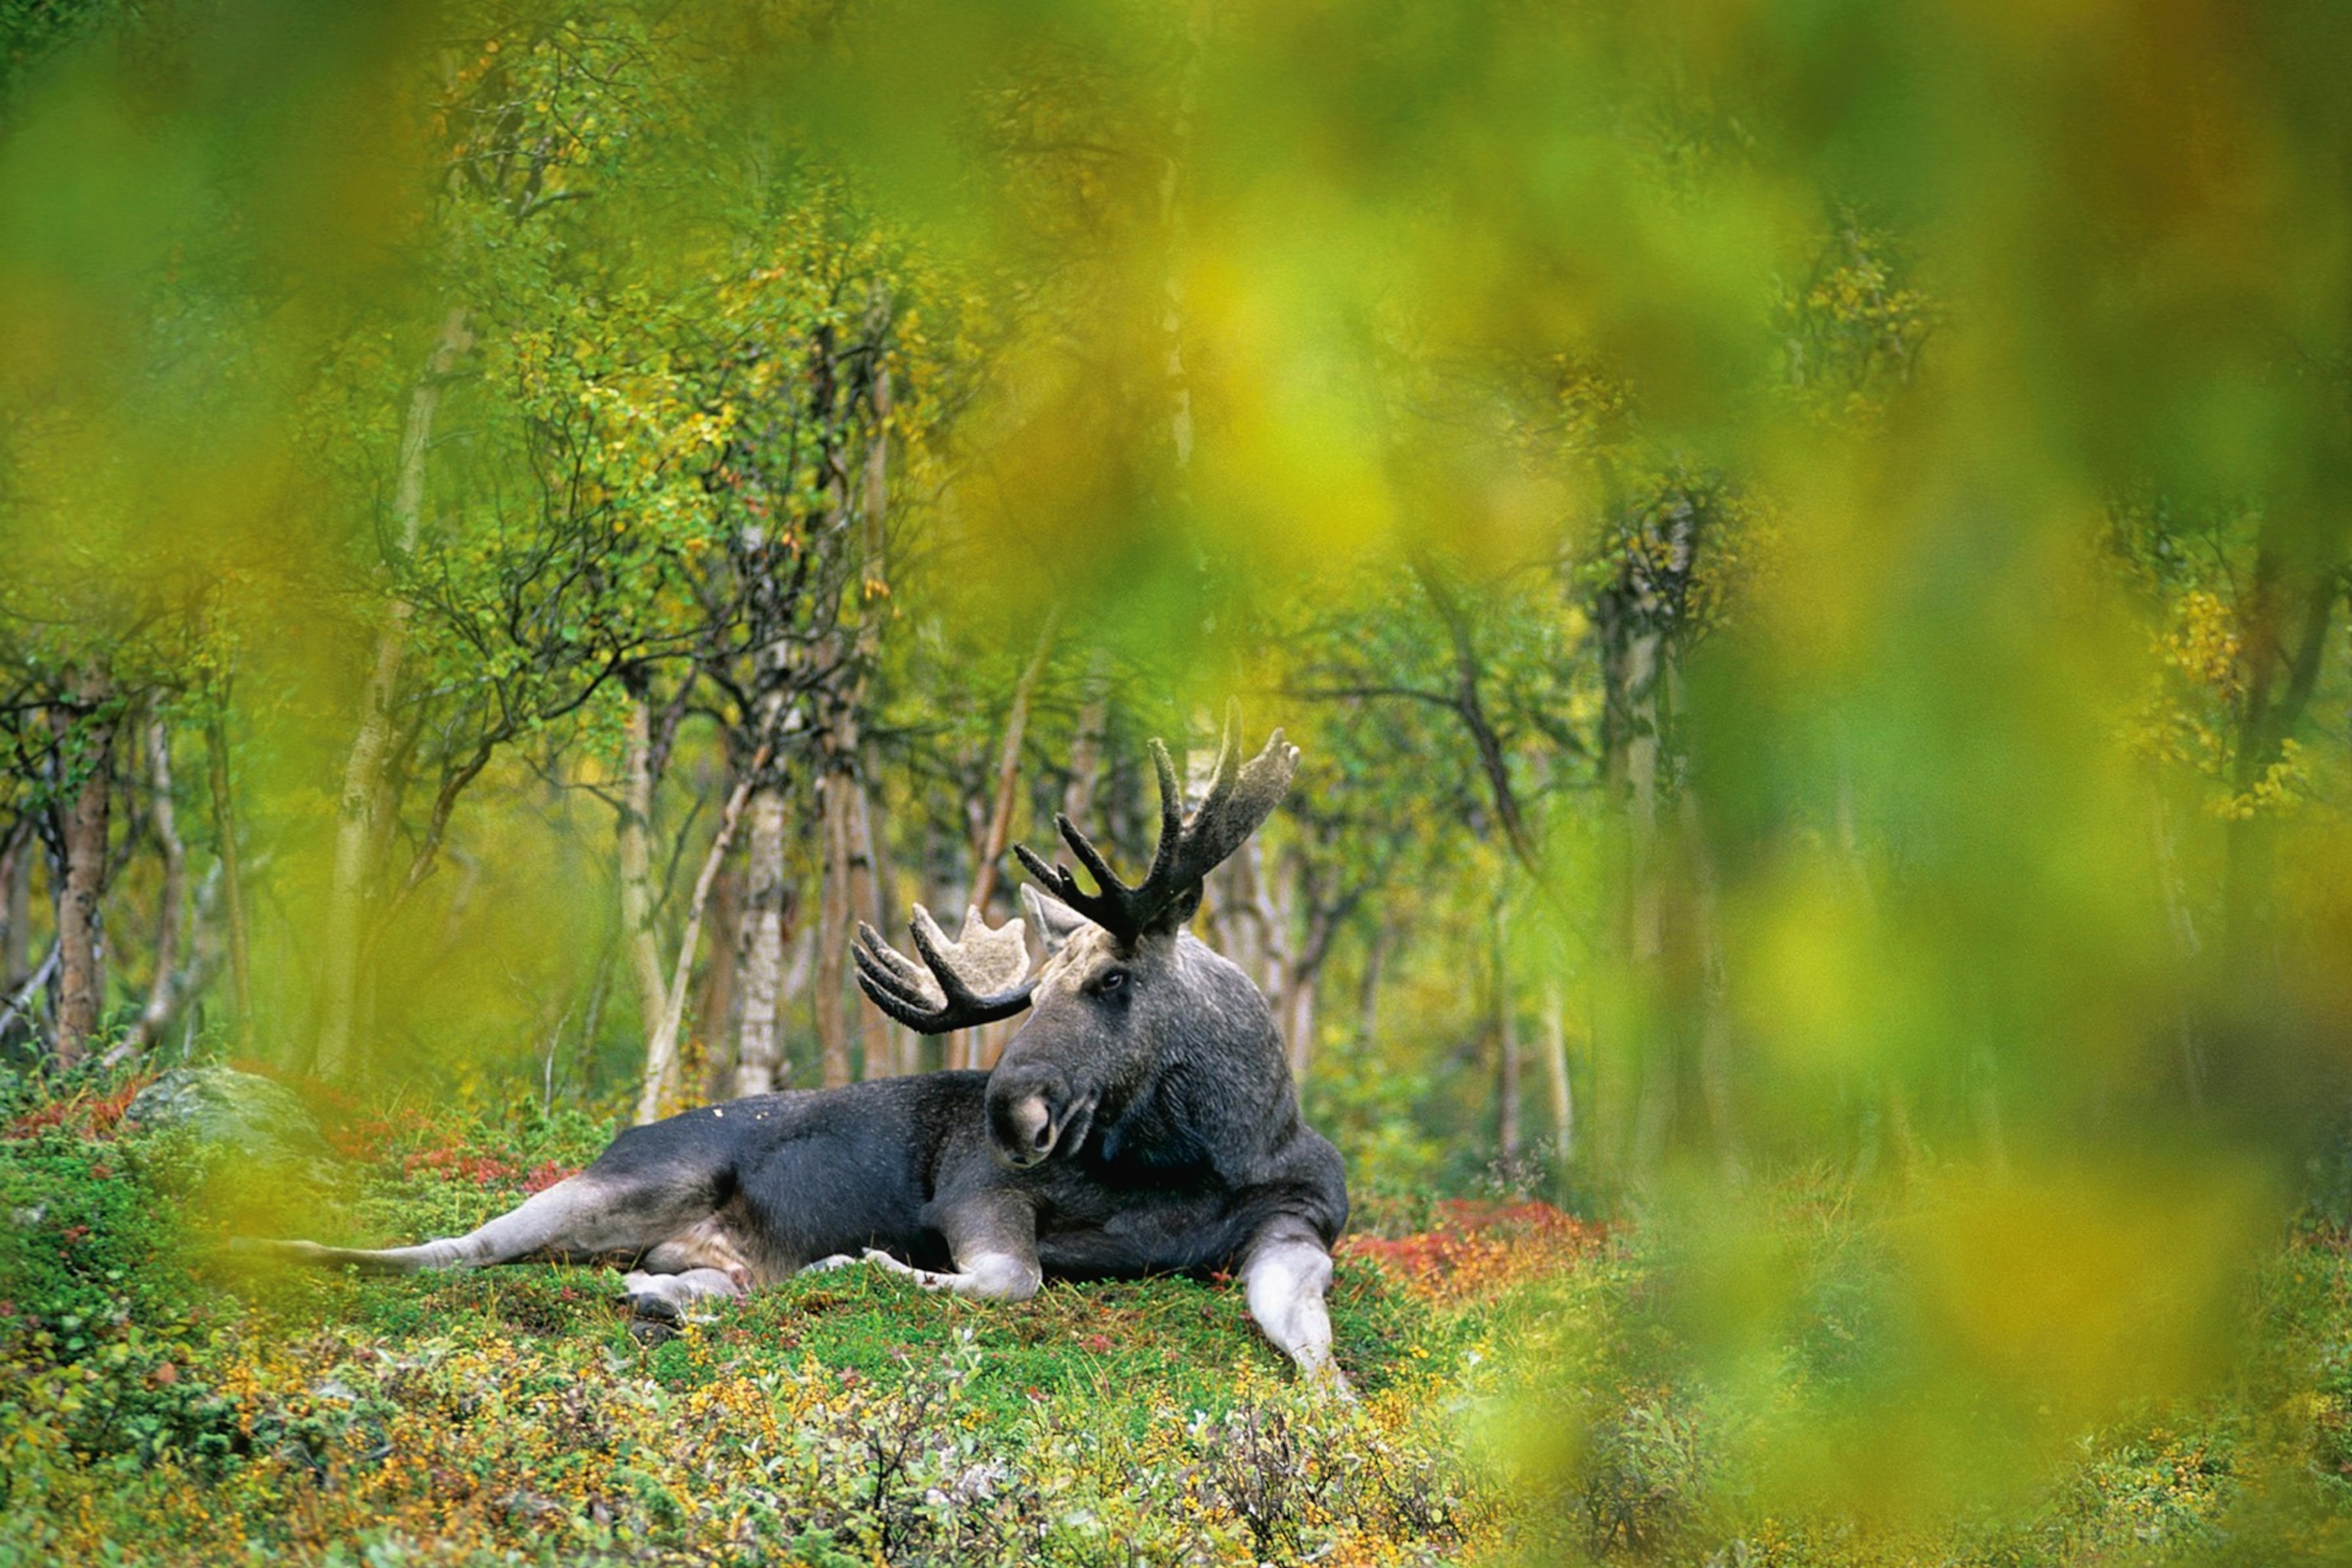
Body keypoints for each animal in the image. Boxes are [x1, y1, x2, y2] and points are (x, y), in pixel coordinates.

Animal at [242, 717, 1352, 1385]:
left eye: (1113, 979)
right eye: (1032, 992)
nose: (1011, 1108)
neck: (1203, 1149)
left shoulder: (1297, 1222)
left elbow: (1300, 1321)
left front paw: (1331, 1395)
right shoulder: (977, 1188)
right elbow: (1011, 1279)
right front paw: (876, 1263)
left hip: (691, 1250)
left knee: (689, 1283)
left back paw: (664, 1297)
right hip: (623, 1185)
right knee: (454, 1247)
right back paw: (280, 1246)